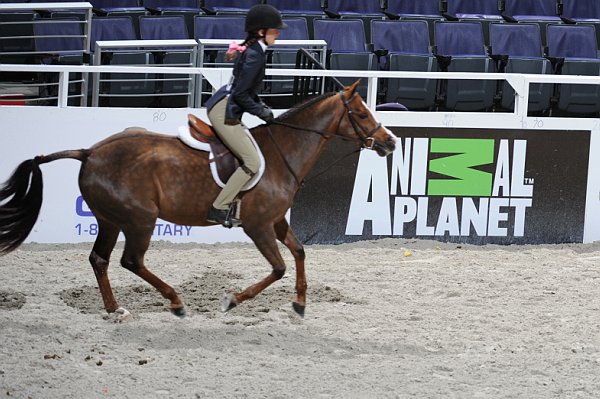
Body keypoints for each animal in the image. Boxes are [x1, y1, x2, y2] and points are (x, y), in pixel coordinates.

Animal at [0, 81, 398, 318]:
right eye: (361, 113)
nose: (390, 142)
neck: (283, 151)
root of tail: (90, 152)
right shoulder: (257, 226)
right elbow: (278, 268)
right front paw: (232, 300)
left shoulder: (276, 221)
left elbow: (299, 253)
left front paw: (300, 303)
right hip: (140, 219)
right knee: (131, 261)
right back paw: (175, 302)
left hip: (110, 219)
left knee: (100, 259)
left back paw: (116, 309)